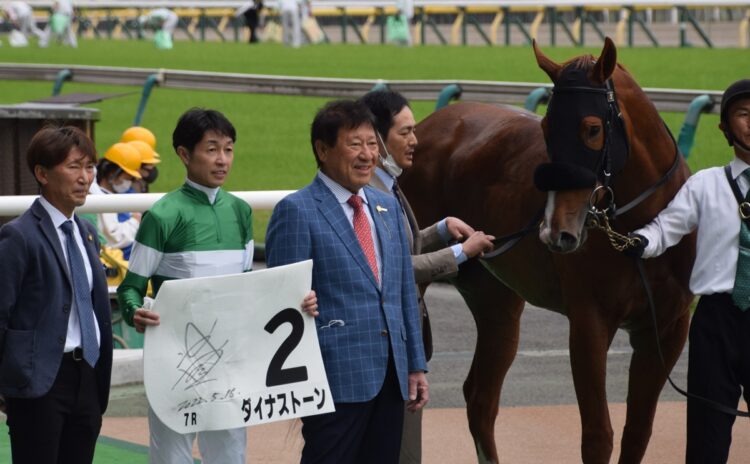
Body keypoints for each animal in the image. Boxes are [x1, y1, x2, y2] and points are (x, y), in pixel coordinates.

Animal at [402, 38, 704, 462]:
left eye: (592, 129)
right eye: (546, 128)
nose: (555, 231)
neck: (641, 240)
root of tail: (433, 125)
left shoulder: (668, 328)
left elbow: (637, 433)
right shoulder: (589, 323)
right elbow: (598, 435)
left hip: (497, 301)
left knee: (481, 397)